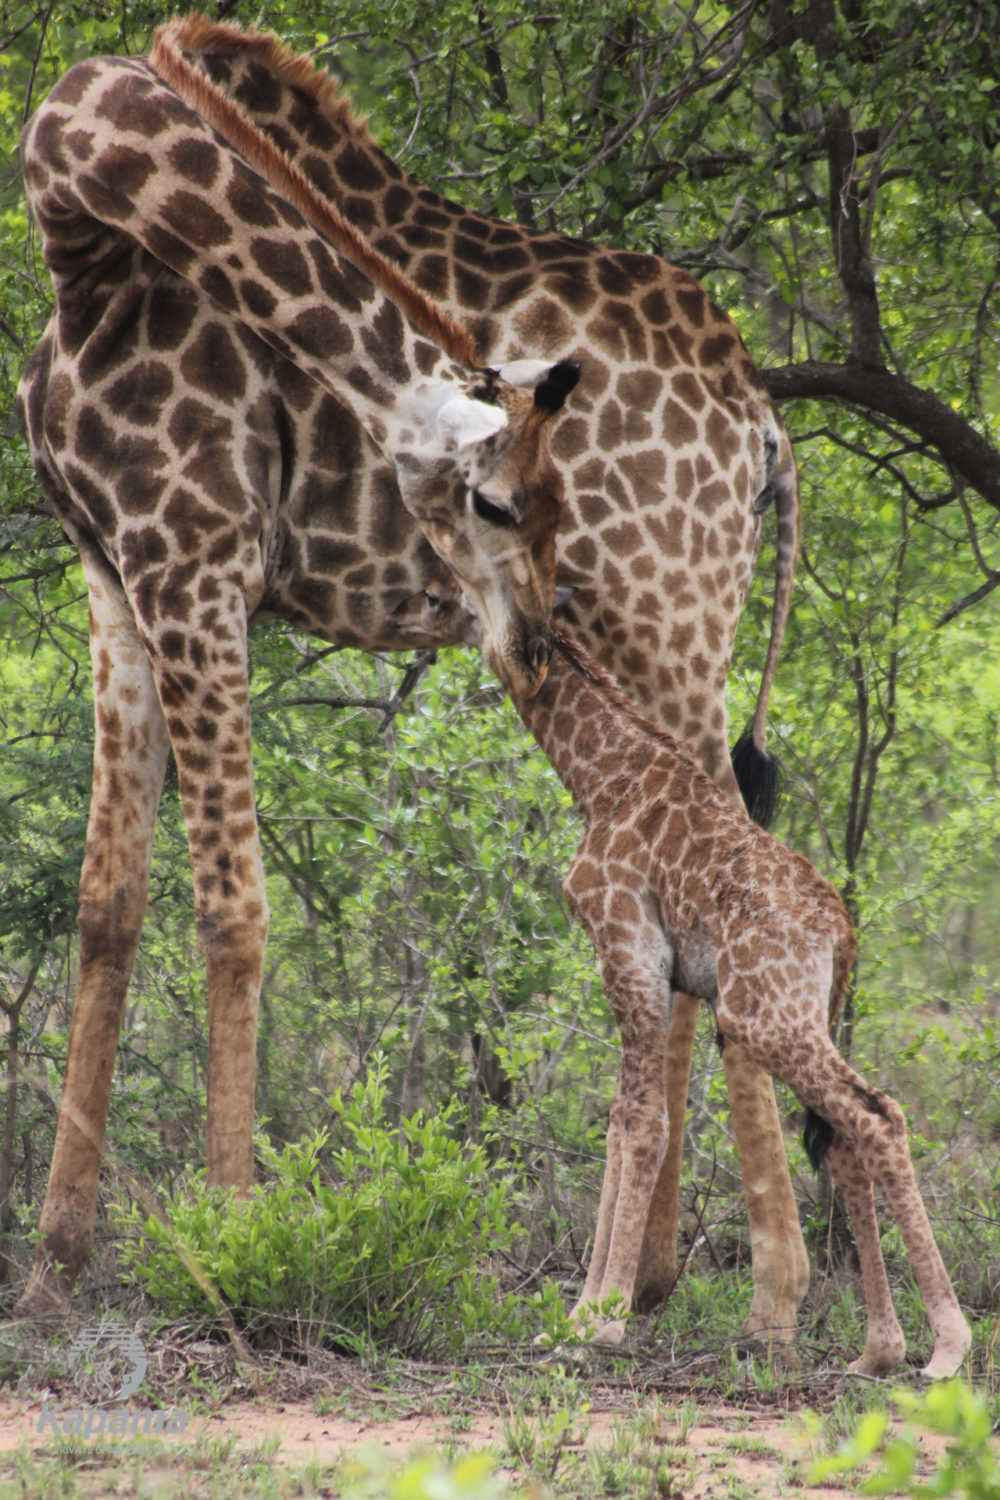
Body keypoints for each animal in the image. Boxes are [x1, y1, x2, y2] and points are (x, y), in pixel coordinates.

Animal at [14, 44, 581, 1317]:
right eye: (496, 502)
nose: (530, 639)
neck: (82, 240)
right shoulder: (113, 578)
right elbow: (108, 906)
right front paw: (52, 1267)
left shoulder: (198, 567)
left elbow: (233, 909)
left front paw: (233, 1241)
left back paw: (649, 1301)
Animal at [150, 16, 809, 1346]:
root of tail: (761, 426)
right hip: (683, 639)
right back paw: (677, 1280)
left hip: (668, 622)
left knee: (724, 868)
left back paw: (761, 1298)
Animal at [392, 582, 972, 1379]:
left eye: (441, 593)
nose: (399, 617)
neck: (600, 775)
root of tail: (844, 932)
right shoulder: (656, 974)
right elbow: (617, 1125)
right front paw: (572, 1321)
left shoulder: (626, 947)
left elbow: (642, 1125)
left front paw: (598, 1326)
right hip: (794, 1017)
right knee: (846, 1136)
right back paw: (877, 1351)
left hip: (765, 1016)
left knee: (879, 1116)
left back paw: (945, 1346)